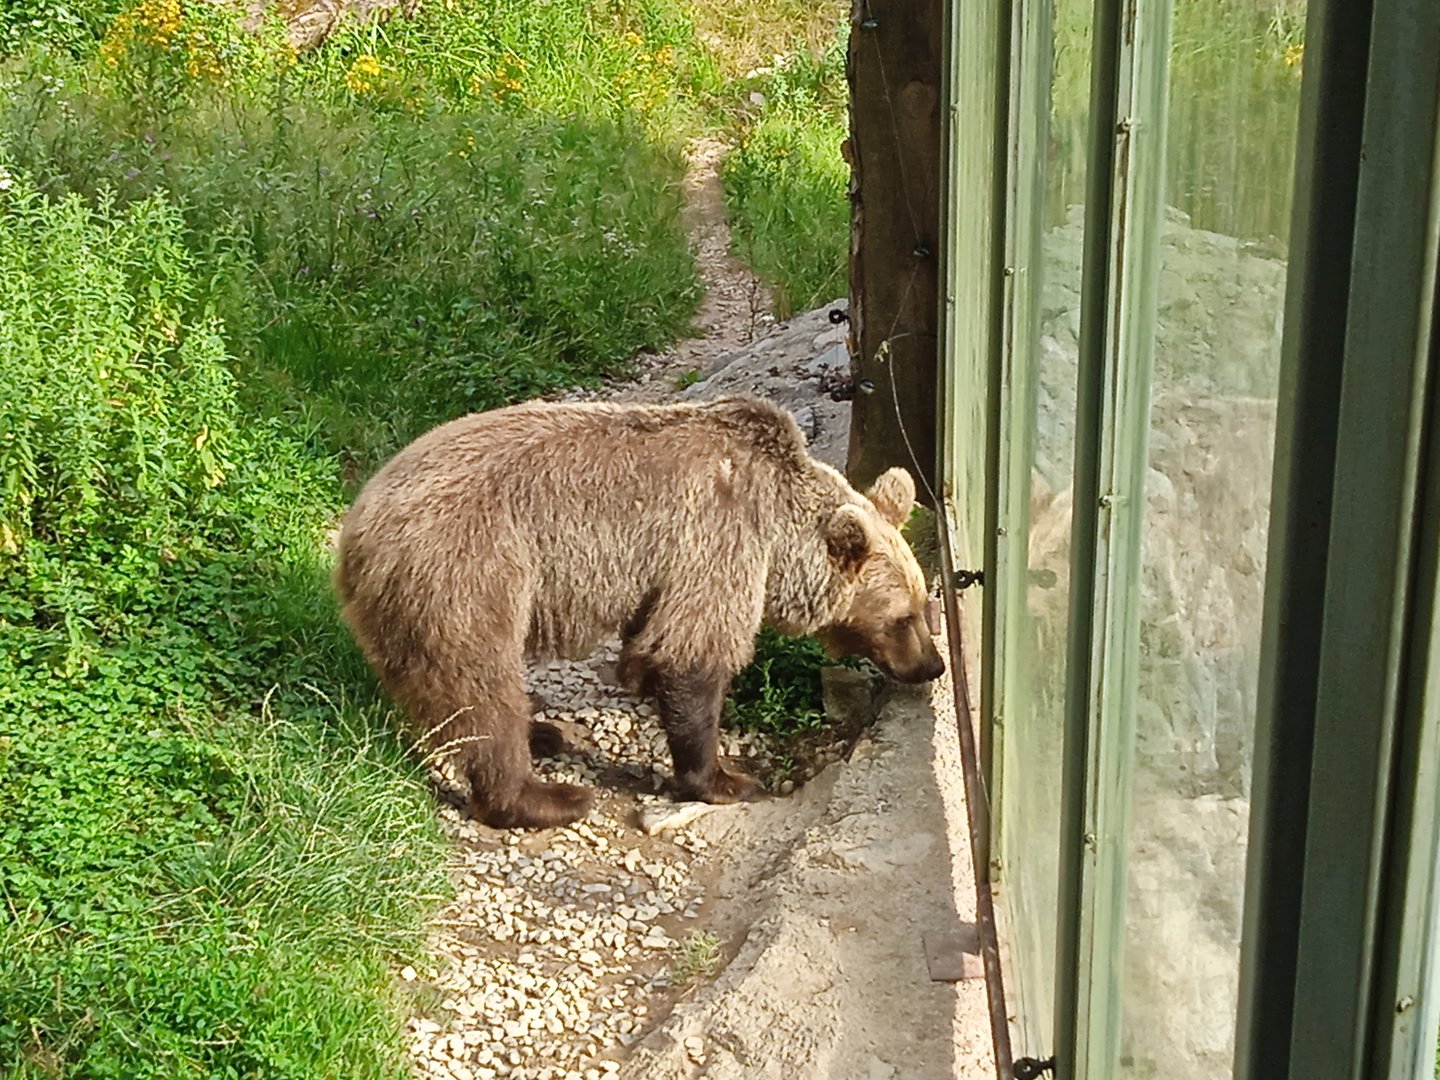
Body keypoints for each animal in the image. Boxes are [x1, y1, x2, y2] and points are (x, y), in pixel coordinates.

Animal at [334, 395, 945, 830]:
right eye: (903, 617)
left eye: (923, 606)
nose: (933, 665)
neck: (782, 535)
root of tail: (357, 528)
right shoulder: (719, 538)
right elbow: (692, 652)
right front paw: (726, 778)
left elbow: (650, 646)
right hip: (471, 572)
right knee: (483, 691)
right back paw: (546, 795)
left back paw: (543, 734)